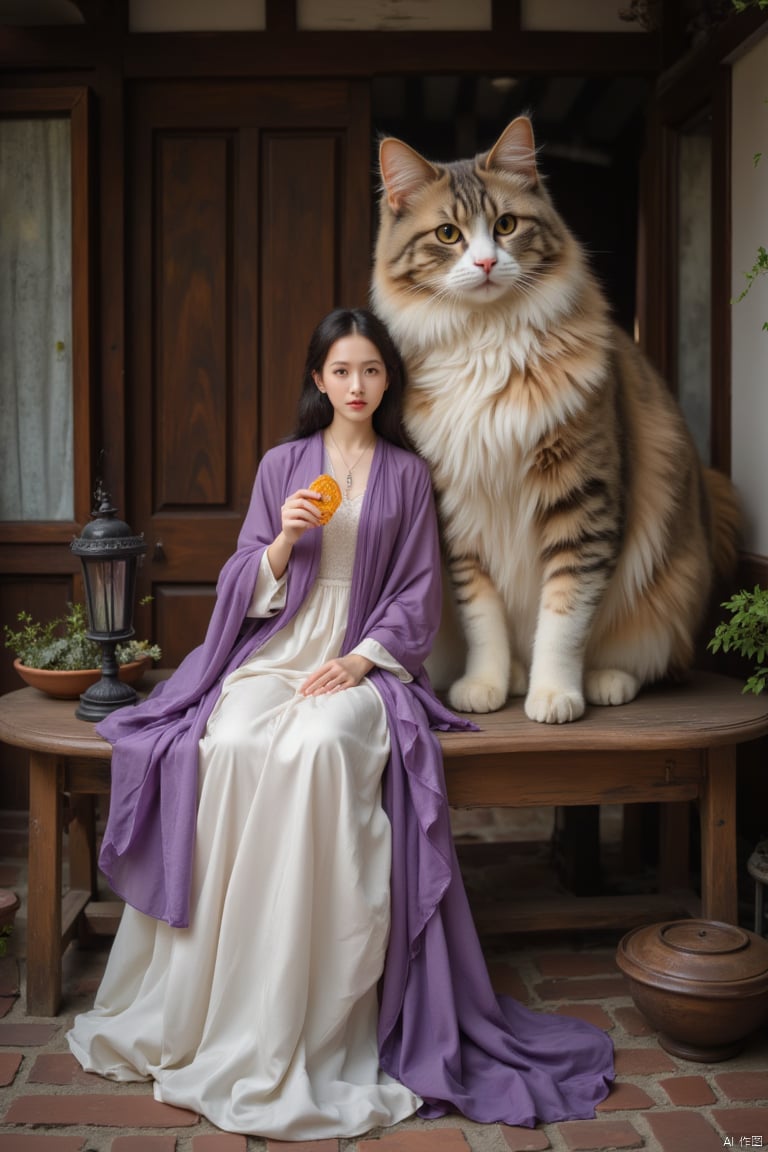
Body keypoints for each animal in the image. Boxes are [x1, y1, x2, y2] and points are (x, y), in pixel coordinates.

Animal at [373, 119, 736, 728]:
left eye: (506, 225)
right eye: (448, 234)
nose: (486, 264)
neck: (486, 343)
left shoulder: (582, 503)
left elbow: (564, 618)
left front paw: (554, 695)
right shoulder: (458, 518)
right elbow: (482, 620)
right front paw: (487, 686)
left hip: (670, 590)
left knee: (645, 658)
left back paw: (604, 682)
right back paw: (516, 677)